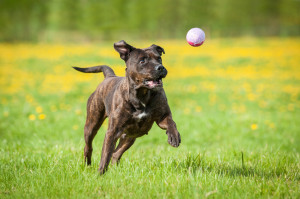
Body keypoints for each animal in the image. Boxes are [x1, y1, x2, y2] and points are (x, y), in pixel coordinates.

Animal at [73, 40, 180, 174]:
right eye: (142, 60)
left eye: (159, 58)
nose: (160, 67)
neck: (141, 95)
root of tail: (109, 76)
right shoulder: (112, 131)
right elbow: (105, 154)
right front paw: (100, 174)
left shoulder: (163, 117)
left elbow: (171, 123)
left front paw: (174, 136)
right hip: (92, 124)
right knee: (89, 146)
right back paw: (87, 165)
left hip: (130, 136)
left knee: (116, 153)